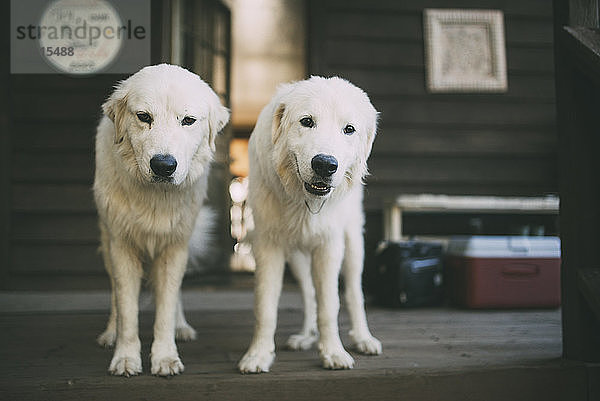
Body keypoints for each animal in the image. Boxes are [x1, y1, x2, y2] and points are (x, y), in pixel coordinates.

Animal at [94, 63, 230, 376]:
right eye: (144, 117)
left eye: (188, 121)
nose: (163, 166)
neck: (155, 197)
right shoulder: (122, 247)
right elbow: (127, 309)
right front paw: (126, 357)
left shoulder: (173, 248)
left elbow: (166, 308)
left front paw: (166, 357)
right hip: (107, 245)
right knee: (114, 295)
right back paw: (110, 333)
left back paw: (182, 327)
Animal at [238, 76, 382, 372]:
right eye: (306, 121)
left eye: (348, 129)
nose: (325, 164)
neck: (303, 202)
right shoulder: (268, 246)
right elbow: (266, 307)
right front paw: (258, 354)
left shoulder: (329, 247)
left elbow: (330, 305)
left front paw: (333, 353)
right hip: (297, 257)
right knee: (308, 294)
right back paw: (306, 336)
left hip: (353, 245)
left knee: (354, 292)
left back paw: (363, 338)